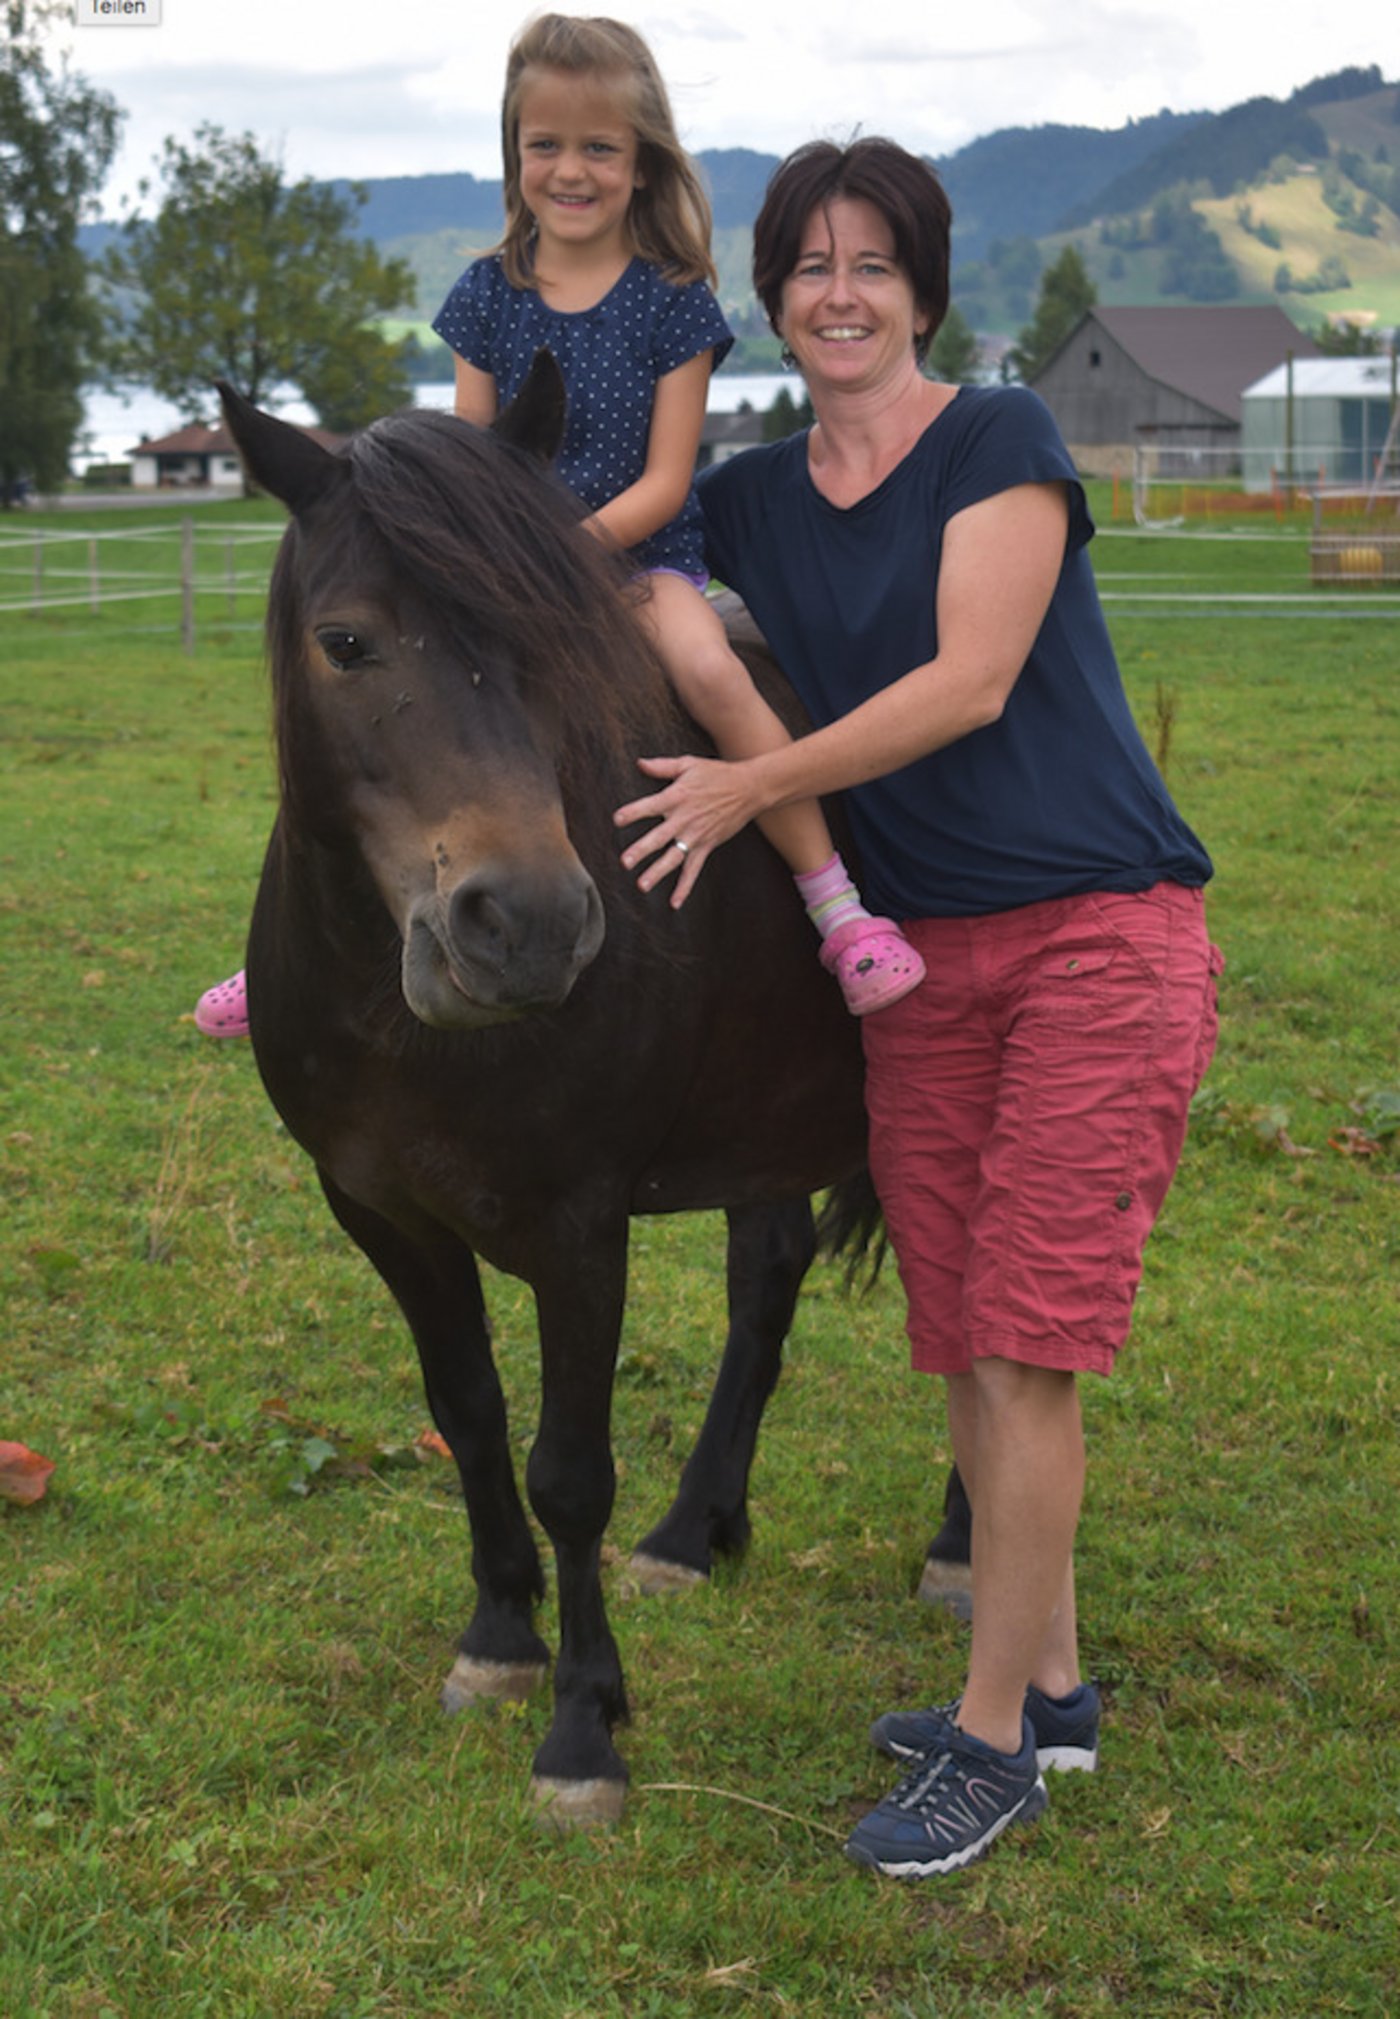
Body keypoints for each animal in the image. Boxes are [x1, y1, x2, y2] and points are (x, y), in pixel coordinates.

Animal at [218, 356, 896, 1826]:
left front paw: (584, 1727)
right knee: (769, 1276)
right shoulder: (384, 1215)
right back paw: (695, 1530)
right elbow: (469, 1415)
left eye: (551, 640)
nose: (522, 924)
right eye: (346, 642)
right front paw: (499, 1639)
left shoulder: (579, 1230)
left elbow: (569, 1471)